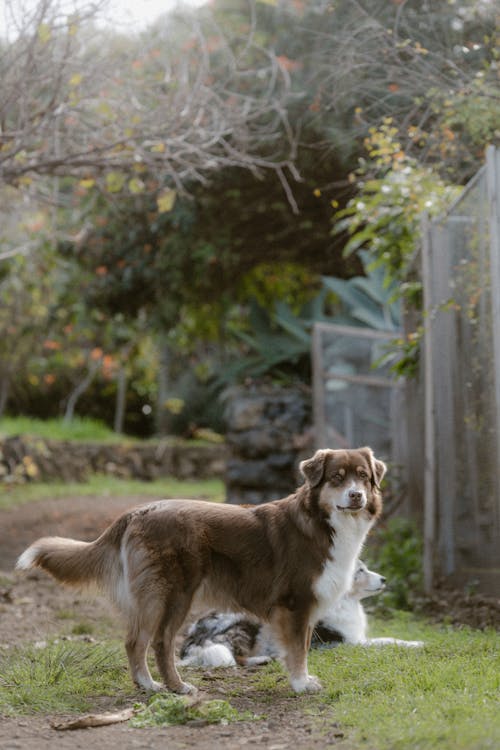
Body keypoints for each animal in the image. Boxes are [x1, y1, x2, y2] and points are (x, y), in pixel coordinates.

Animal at [14, 450, 382, 696]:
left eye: (364, 476)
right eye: (337, 477)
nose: (356, 495)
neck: (322, 522)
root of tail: (139, 511)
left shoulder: (305, 609)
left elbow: (301, 645)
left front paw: (302, 681)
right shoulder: (296, 603)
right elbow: (297, 650)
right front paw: (301, 684)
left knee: (141, 641)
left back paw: (151, 685)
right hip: (171, 595)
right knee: (153, 642)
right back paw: (170, 687)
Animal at [180, 564, 422, 668]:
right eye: (359, 571)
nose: (384, 579)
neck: (344, 602)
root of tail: (192, 637)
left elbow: (389, 638)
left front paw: (416, 642)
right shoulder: (345, 643)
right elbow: (385, 641)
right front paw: (417, 645)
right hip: (245, 625)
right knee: (233, 655)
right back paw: (262, 659)